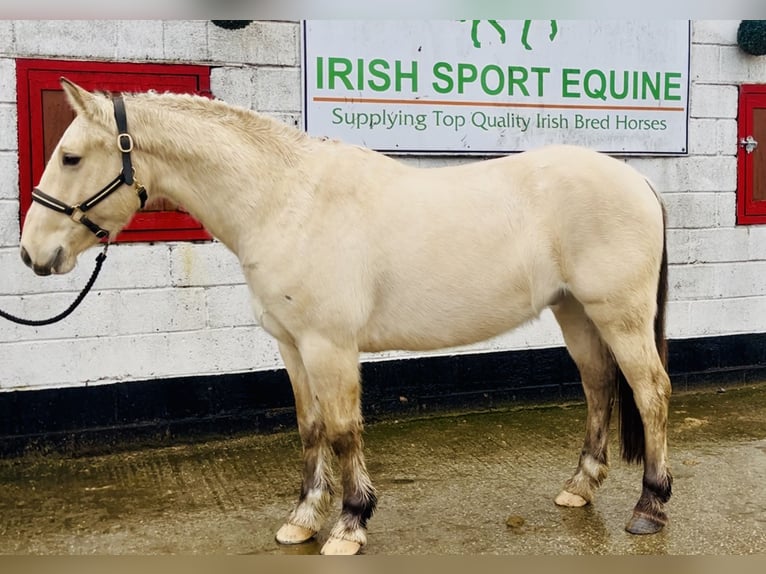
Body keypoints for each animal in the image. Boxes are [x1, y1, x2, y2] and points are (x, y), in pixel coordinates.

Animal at [19, 78, 672, 555]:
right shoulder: (291, 346)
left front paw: (351, 524)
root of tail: (637, 179)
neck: (285, 201)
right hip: (575, 312)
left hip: (619, 314)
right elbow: (310, 429)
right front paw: (303, 519)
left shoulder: (329, 345)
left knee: (650, 392)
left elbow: (341, 430)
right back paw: (579, 489)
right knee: (599, 386)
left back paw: (649, 507)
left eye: (70, 156)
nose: (32, 254)